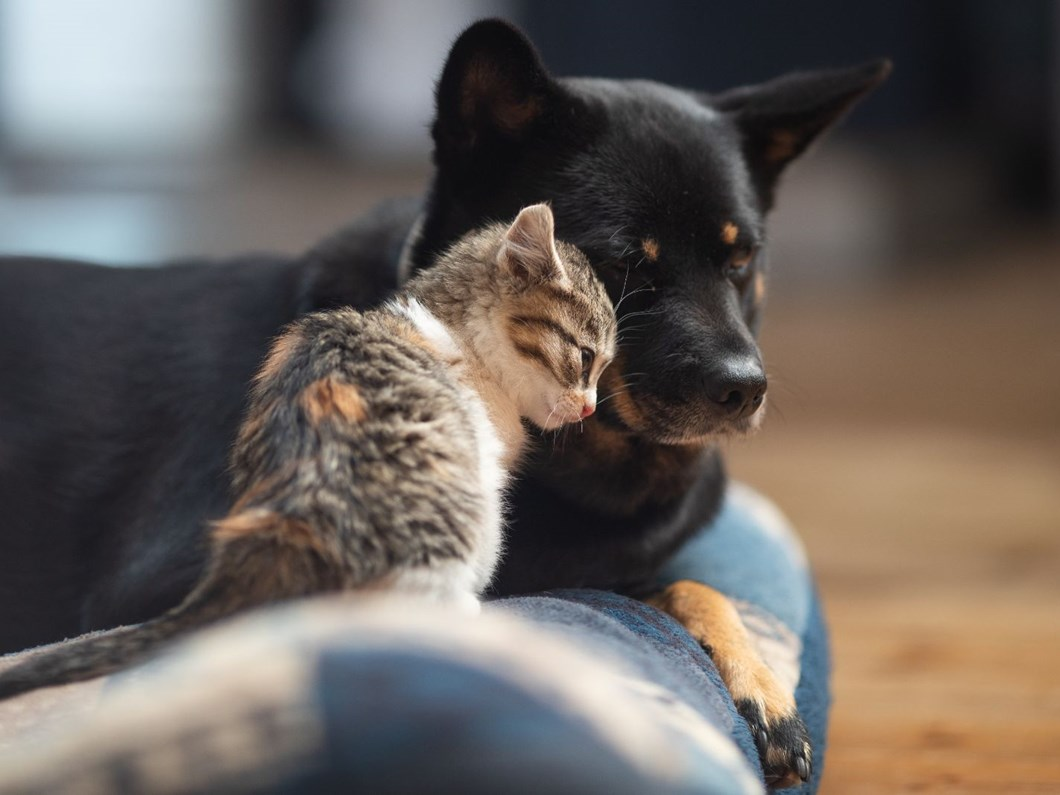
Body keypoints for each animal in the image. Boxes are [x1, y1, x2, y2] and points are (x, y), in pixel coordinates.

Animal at [0, 202, 619, 699]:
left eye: (603, 369)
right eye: (586, 357)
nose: (589, 409)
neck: (457, 332)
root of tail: (291, 522)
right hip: (468, 522)